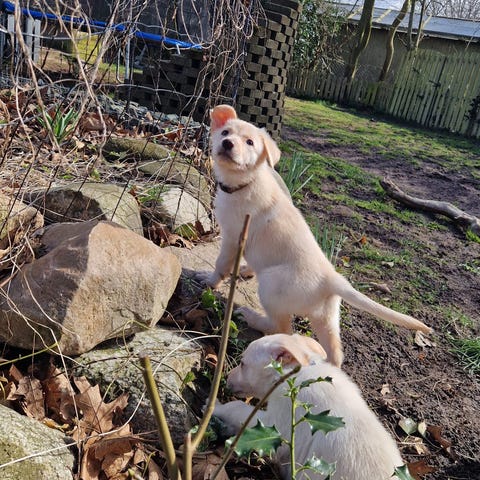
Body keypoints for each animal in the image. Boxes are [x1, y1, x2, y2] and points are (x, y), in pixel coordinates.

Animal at [202, 104, 432, 367]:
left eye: (249, 142)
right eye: (225, 132)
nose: (227, 143)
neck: (247, 182)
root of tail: (331, 279)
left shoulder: (233, 237)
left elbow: (221, 265)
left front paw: (209, 281)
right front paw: (244, 270)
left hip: (271, 287)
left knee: (282, 327)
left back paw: (251, 317)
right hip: (327, 319)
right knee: (335, 353)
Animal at [213, 333, 405, 480]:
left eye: (242, 364)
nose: (226, 377)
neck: (299, 373)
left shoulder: (274, 424)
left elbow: (236, 407)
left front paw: (214, 405)